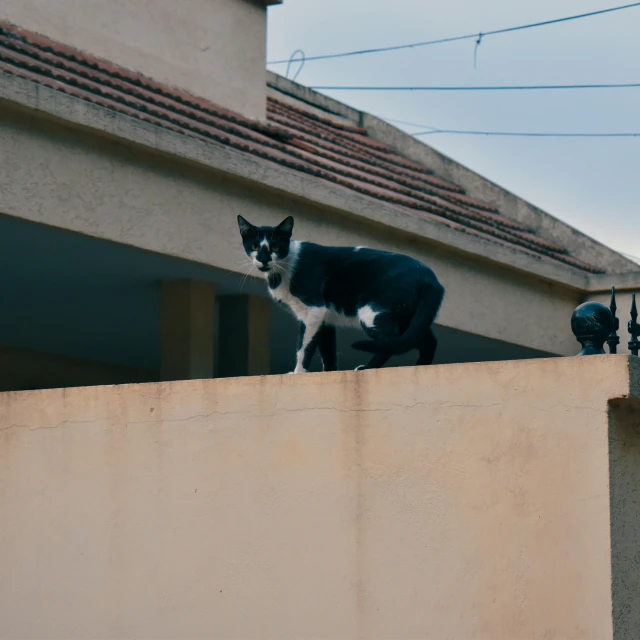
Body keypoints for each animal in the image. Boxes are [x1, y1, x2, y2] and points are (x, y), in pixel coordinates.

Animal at [236, 216, 444, 372]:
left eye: (275, 247)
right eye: (254, 247)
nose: (263, 260)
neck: (281, 271)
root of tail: (430, 276)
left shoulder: (314, 310)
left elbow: (304, 348)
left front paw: (297, 373)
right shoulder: (325, 320)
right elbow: (327, 353)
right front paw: (328, 374)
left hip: (372, 312)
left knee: (391, 341)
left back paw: (368, 367)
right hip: (410, 317)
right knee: (424, 340)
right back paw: (421, 367)